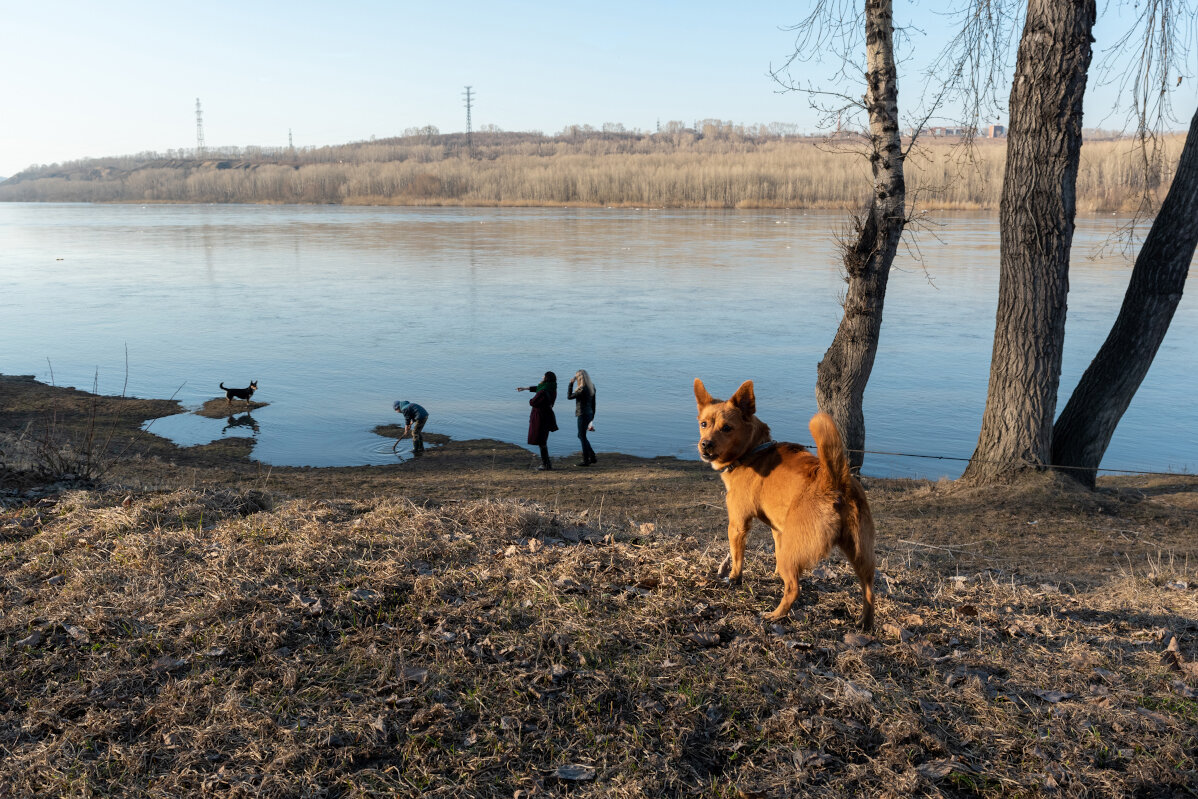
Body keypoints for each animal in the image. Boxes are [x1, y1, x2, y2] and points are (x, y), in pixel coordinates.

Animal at [699, 378, 876, 627]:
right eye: (704, 424)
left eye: (727, 428)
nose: (705, 444)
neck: (752, 452)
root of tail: (832, 481)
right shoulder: (778, 529)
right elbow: (775, 548)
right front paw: (774, 575)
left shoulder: (738, 524)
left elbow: (737, 557)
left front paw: (734, 578)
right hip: (861, 553)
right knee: (868, 589)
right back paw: (865, 622)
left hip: (795, 556)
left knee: (794, 589)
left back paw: (775, 615)